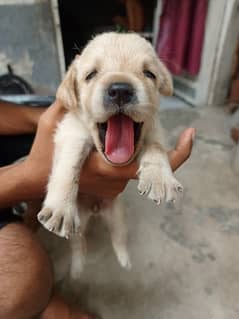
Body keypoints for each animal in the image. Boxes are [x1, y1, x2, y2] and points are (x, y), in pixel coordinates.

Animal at [37, 31, 183, 278]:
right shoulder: (71, 131)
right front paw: (61, 206)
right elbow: (69, 165)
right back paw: (77, 269)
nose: (121, 90)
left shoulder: (154, 129)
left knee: (119, 238)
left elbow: (155, 147)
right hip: (78, 224)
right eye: (91, 75)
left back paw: (125, 262)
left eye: (149, 74)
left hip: (118, 216)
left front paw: (159, 178)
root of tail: (95, 211)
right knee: (78, 243)